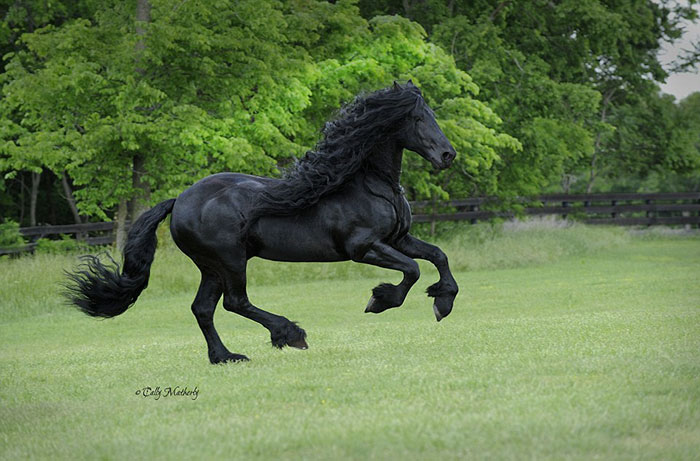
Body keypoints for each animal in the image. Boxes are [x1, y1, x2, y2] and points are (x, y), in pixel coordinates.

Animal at [66, 81, 459, 364]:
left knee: (203, 308)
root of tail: (179, 201)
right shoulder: (363, 248)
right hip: (230, 261)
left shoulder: (399, 239)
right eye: (418, 119)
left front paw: (443, 302)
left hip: (211, 267)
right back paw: (290, 334)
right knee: (235, 302)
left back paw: (225, 357)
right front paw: (380, 300)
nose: (447, 155)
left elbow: (438, 256)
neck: (368, 184)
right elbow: (412, 271)